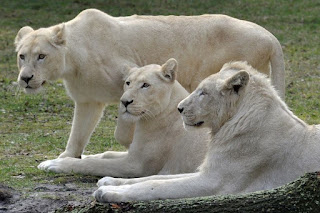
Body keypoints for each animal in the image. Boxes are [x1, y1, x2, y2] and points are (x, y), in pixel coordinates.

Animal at [14, 9, 284, 161]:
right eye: (22, 56)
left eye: (41, 56)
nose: (25, 78)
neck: (73, 60)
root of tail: (270, 35)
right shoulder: (88, 100)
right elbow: (78, 132)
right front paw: (68, 156)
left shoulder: (129, 82)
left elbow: (124, 124)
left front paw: (130, 143)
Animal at [37, 58, 209, 176]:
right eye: (128, 83)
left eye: (145, 85)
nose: (125, 101)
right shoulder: (132, 153)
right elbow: (106, 154)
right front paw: (81, 156)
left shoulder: (136, 165)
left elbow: (95, 164)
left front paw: (55, 164)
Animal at [94, 61, 320, 201]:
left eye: (203, 93)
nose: (179, 108)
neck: (224, 128)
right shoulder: (206, 171)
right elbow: (152, 178)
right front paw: (110, 181)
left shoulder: (215, 182)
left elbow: (157, 186)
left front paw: (108, 192)